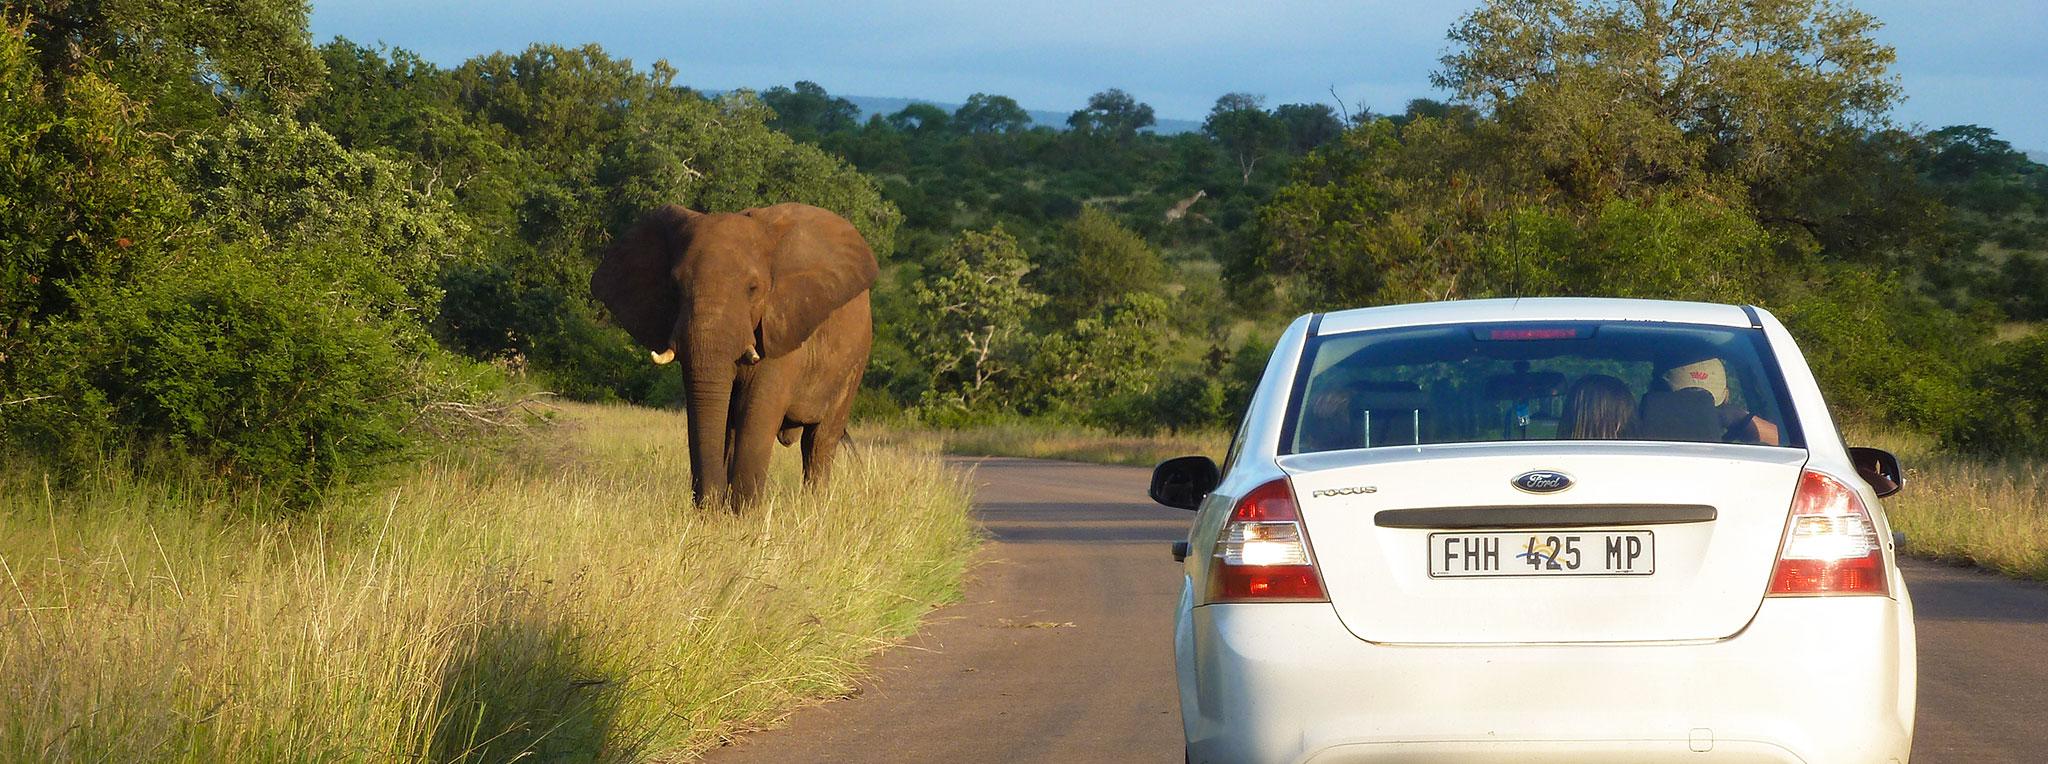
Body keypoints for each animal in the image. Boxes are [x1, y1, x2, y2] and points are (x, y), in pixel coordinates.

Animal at [590, 203, 877, 508]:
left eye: (753, 288)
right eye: (675, 287)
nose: (708, 503)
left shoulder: (781, 327)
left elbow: (758, 412)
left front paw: (743, 513)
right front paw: (719, 511)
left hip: (855, 363)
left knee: (819, 441)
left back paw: (814, 507)